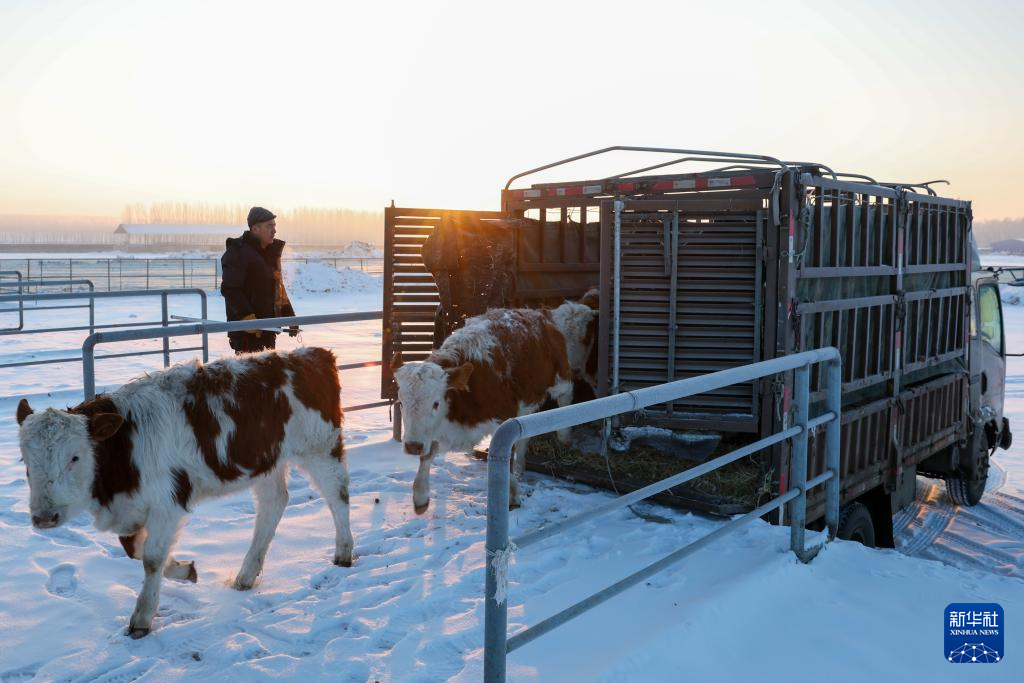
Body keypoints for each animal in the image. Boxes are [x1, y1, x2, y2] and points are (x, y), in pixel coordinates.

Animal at [12, 350, 352, 638]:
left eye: (75, 457)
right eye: (26, 460)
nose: (44, 517)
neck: (126, 448)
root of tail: (314, 354)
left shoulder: (167, 501)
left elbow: (151, 558)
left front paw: (142, 617)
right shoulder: (133, 507)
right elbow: (135, 550)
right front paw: (185, 570)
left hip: (320, 447)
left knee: (338, 495)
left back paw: (344, 551)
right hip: (268, 462)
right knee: (273, 504)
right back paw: (246, 574)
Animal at [393, 301, 598, 511]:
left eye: (435, 403)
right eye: (401, 402)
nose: (412, 446)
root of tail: (543, 314)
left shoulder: (504, 418)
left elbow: (506, 456)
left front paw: (512, 495)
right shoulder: (444, 428)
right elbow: (427, 455)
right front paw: (420, 496)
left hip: (561, 376)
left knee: (566, 395)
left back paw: (564, 437)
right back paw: (521, 467)